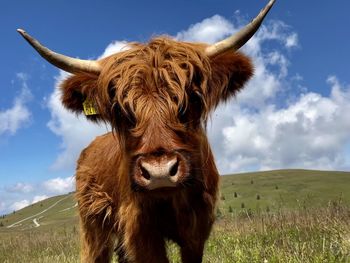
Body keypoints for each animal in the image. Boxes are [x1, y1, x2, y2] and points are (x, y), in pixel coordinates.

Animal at [18, 1, 276, 262]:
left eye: (192, 99)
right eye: (120, 110)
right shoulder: (140, 228)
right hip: (93, 222)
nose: (159, 172)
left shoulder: (197, 230)